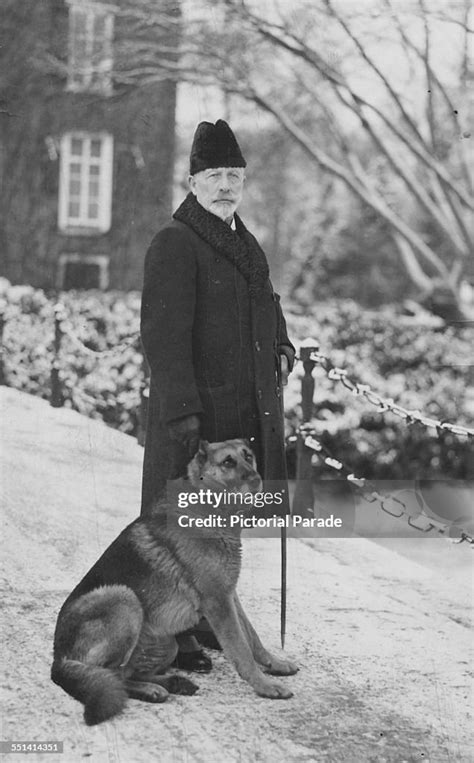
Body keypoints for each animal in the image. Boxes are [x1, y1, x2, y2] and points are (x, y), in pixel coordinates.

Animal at [51, 438, 296, 724]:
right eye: (228, 462)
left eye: (248, 456)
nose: (257, 480)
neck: (207, 502)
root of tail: (58, 659)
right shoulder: (218, 602)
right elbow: (241, 649)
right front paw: (265, 685)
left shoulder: (229, 595)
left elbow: (253, 637)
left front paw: (275, 664)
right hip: (124, 598)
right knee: (112, 675)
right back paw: (153, 689)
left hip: (168, 644)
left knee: (125, 673)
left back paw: (172, 682)